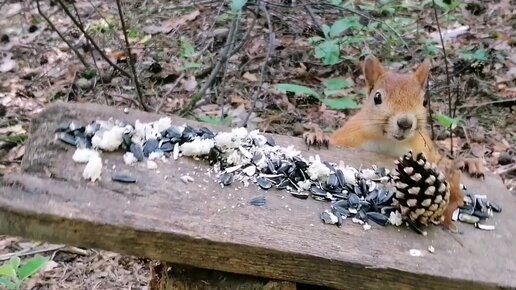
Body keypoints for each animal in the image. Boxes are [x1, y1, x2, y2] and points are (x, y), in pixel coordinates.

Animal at [306, 54, 488, 231]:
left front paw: (466, 162)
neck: (388, 140)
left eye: (424, 101)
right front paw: (317, 135)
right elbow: (333, 140)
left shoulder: (425, 150)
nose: (405, 123)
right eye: (377, 97)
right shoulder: (349, 136)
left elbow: (440, 161)